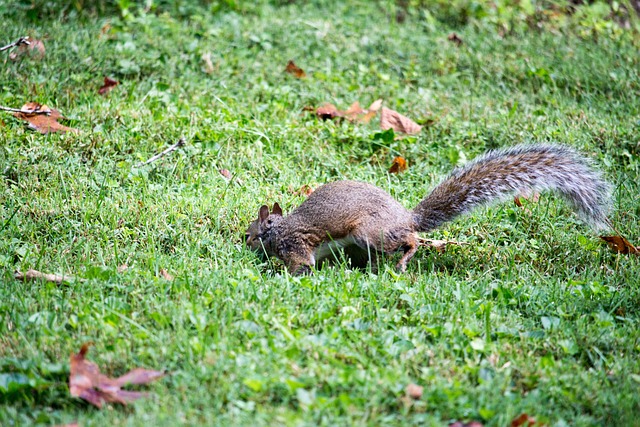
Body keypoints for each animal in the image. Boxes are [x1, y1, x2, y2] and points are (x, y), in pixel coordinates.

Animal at [244, 145, 608, 276]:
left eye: (250, 235)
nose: (243, 245)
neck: (279, 227)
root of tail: (406, 217)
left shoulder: (295, 244)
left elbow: (301, 264)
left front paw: (283, 276)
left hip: (369, 232)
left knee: (411, 240)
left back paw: (403, 260)